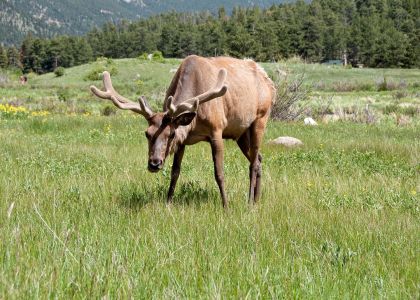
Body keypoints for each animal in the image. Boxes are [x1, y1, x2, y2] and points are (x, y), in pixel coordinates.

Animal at [90, 55, 276, 207]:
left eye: (171, 134)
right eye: (147, 133)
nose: (154, 163)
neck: (194, 121)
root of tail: (269, 82)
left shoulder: (217, 129)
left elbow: (219, 173)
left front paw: (226, 206)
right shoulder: (183, 141)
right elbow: (175, 172)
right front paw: (168, 203)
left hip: (260, 118)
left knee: (253, 163)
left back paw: (249, 202)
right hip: (241, 132)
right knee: (259, 159)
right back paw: (256, 199)